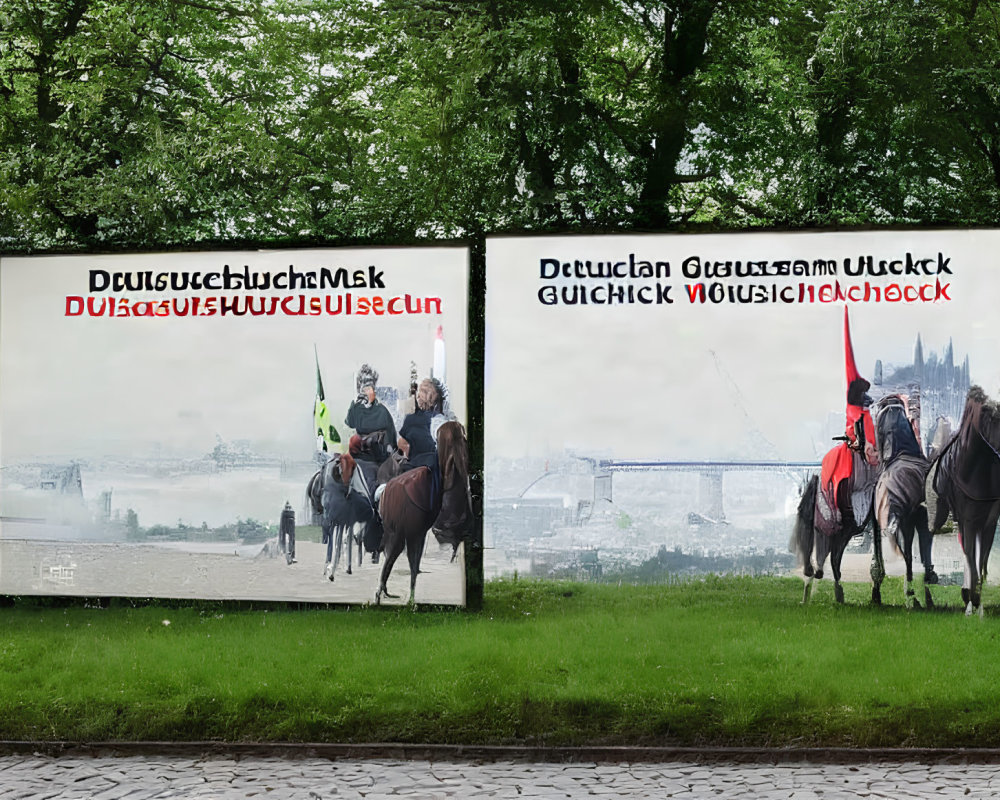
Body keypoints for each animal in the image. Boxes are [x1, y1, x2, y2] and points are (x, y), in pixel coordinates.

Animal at [376, 422, 474, 604]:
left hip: (398, 531)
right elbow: (413, 563)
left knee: (393, 555)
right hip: (401, 531)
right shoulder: (415, 532)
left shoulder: (417, 532)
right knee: (394, 555)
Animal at [924, 384, 1000, 616]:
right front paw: (971, 602)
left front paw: (977, 602)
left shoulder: (988, 522)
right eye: (989, 416)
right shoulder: (968, 520)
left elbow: (981, 560)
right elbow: (971, 558)